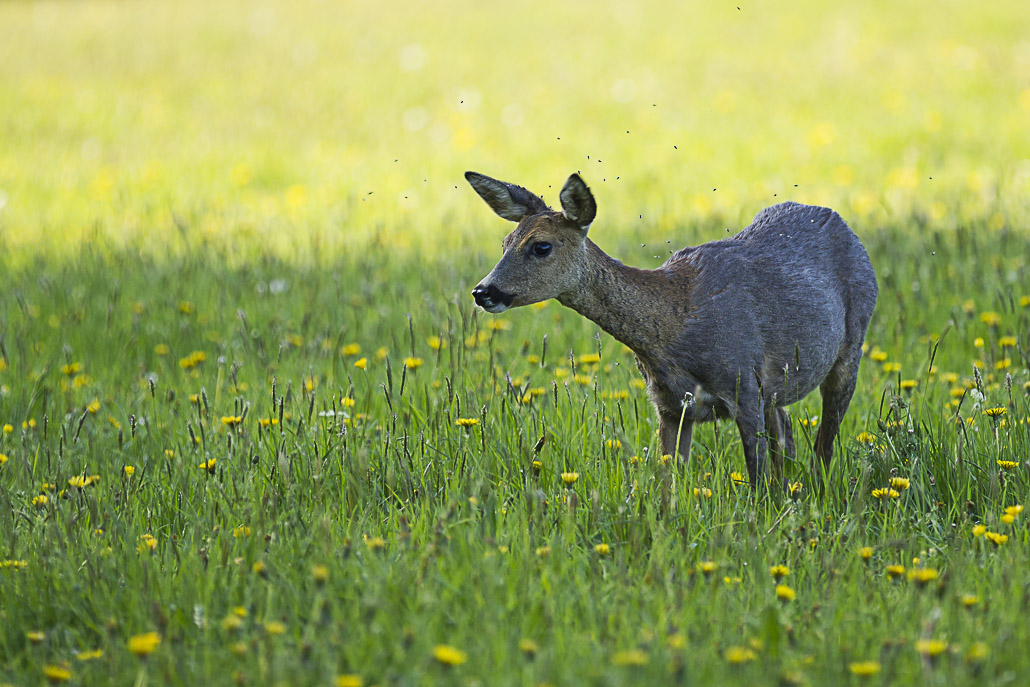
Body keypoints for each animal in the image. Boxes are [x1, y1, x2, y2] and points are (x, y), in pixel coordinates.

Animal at [467, 170, 877, 488]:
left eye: (541, 246)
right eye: (504, 243)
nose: (483, 291)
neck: (674, 330)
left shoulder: (742, 383)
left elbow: (756, 480)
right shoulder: (670, 405)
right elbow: (666, 487)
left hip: (852, 344)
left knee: (823, 444)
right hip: (775, 386)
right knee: (786, 429)